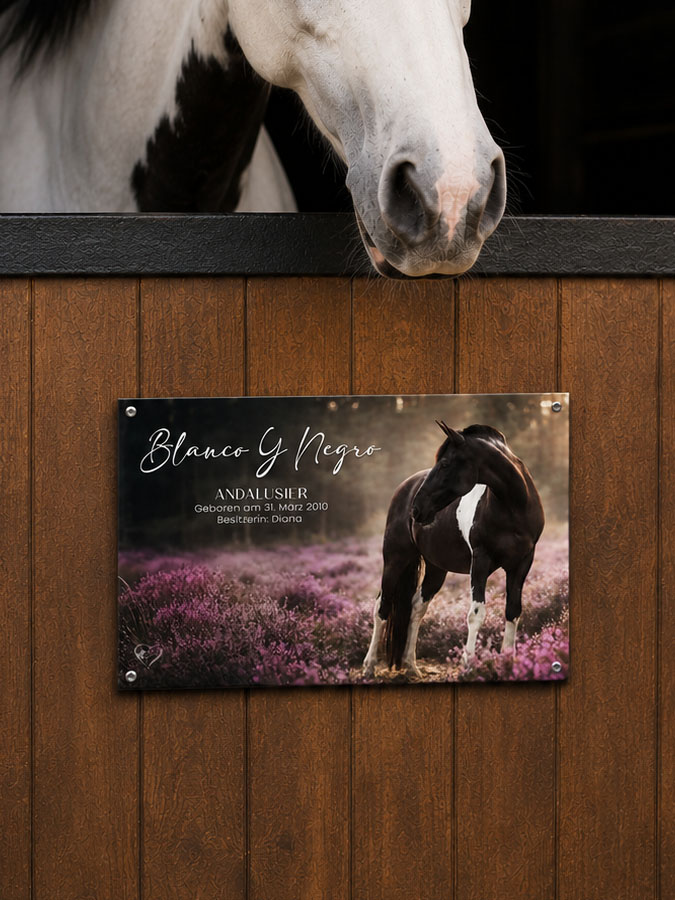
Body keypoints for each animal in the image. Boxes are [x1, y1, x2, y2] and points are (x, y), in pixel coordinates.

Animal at [363, 421, 545, 677]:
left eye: (445, 463)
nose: (417, 509)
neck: (514, 507)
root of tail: (404, 489)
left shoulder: (522, 564)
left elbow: (513, 612)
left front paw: (509, 664)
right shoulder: (480, 561)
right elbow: (476, 614)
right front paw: (468, 665)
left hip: (436, 569)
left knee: (416, 607)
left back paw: (411, 666)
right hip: (395, 560)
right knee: (382, 606)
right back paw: (369, 666)